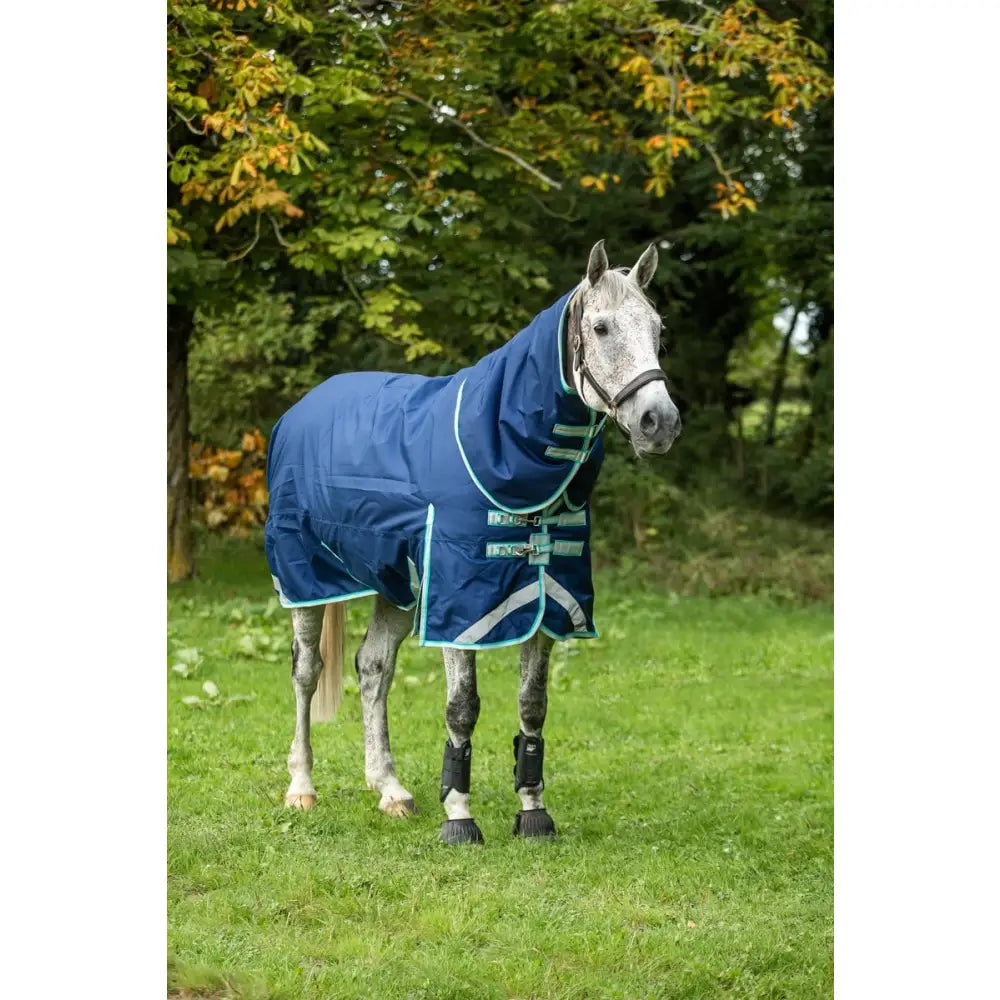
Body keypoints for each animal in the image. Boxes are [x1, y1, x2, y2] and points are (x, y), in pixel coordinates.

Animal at [264, 240, 681, 844]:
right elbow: (462, 707)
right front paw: (459, 816)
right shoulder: (460, 603)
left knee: (373, 668)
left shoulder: (548, 598)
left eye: (657, 328)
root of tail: (299, 411)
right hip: (305, 578)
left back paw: (389, 789)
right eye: (601, 328)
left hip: (396, 583)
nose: (659, 422)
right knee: (305, 672)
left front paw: (532, 810)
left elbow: (533, 705)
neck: (508, 445)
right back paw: (302, 786)